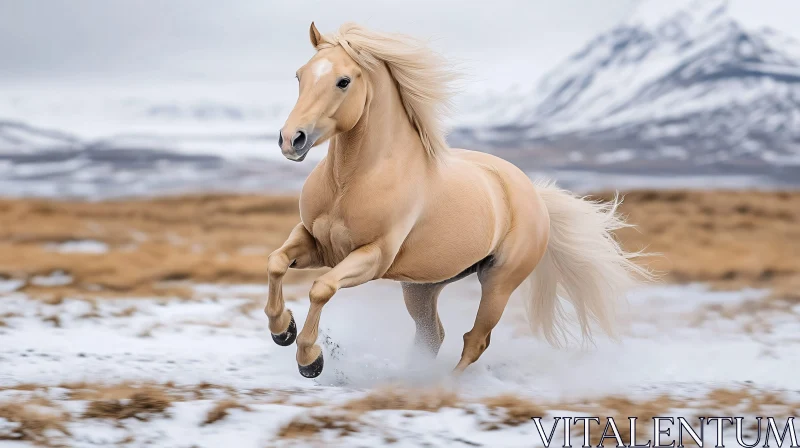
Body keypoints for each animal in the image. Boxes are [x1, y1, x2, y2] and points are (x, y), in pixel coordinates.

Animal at [266, 21, 652, 378]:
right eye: (300, 76)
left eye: (343, 81)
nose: (291, 139)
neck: (350, 182)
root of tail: (533, 193)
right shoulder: (316, 242)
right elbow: (276, 263)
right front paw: (282, 330)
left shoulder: (372, 257)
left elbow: (322, 288)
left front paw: (310, 359)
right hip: (422, 287)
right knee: (433, 335)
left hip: (498, 282)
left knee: (474, 340)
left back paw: (444, 385)